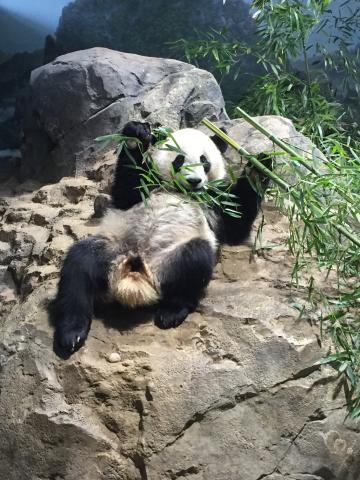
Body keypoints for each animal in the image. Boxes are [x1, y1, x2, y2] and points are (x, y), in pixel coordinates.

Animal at [54, 122, 270, 354]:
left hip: (170, 257)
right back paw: (71, 333)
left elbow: (235, 224)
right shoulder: (145, 187)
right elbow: (127, 191)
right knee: (78, 269)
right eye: (179, 160)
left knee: (195, 261)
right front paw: (137, 134)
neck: (180, 190)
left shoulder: (215, 200)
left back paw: (171, 313)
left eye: (204, 161)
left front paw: (261, 166)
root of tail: (136, 268)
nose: (194, 181)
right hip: (113, 249)